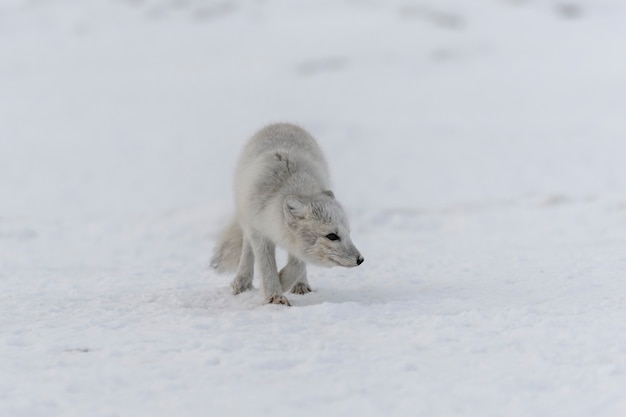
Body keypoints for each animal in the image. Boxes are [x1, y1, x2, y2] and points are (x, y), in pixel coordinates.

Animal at [212, 122, 364, 304]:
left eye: (348, 233)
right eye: (332, 236)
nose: (360, 259)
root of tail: (280, 123)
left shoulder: (295, 243)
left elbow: (297, 265)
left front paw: (282, 281)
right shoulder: (260, 232)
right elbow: (266, 266)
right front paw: (275, 296)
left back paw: (301, 286)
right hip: (247, 218)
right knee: (247, 248)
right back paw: (242, 282)